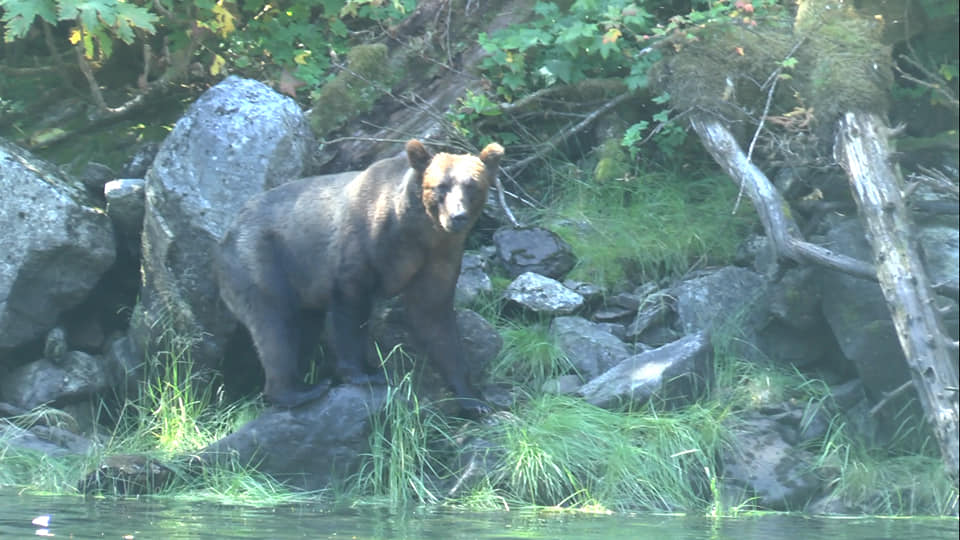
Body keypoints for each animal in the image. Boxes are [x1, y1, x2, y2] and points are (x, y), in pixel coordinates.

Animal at [217, 140, 504, 417]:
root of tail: (228, 232)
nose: (458, 217)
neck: (418, 232)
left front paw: (473, 398)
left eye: (472, 185)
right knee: (275, 324)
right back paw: (300, 390)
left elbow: (434, 316)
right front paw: (366, 372)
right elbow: (350, 307)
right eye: (440, 186)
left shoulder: (439, 257)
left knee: (302, 327)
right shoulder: (363, 244)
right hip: (262, 261)